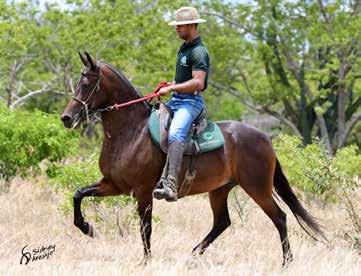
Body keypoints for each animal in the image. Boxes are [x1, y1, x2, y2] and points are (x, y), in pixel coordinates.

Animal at [60, 51, 324, 266]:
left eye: (86, 83)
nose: (66, 118)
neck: (131, 132)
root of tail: (265, 138)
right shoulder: (113, 185)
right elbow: (78, 194)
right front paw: (87, 228)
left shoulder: (143, 192)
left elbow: (146, 228)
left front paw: (145, 262)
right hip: (220, 190)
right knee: (222, 222)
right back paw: (192, 255)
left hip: (257, 188)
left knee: (279, 217)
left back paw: (286, 262)